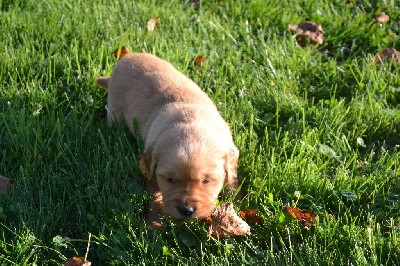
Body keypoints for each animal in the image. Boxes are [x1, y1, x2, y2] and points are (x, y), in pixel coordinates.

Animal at [96, 52, 238, 227]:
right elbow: (156, 197)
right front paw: (154, 223)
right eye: (170, 180)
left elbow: (232, 181)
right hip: (115, 112)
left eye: (206, 181)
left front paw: (236, 202)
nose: (186, 210)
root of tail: (126, 56)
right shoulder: (151, 172)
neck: (191, 123)